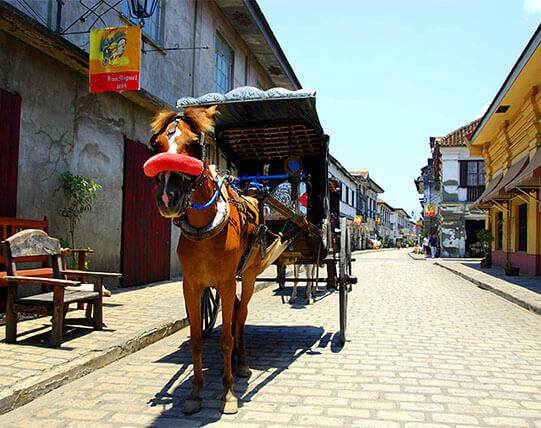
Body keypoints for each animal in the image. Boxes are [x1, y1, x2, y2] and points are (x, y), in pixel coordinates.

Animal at [143, 107, 262, 414]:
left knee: (241, 316)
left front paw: (228, 394)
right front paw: (196, 393)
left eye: (195, 144)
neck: (203, 228)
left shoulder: (227, 282)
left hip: (248, 276)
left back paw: (242, 364)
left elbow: (225, 339)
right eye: (156, 145)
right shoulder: (192, 285)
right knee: (235, 313)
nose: (167, 198)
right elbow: (196, 339)